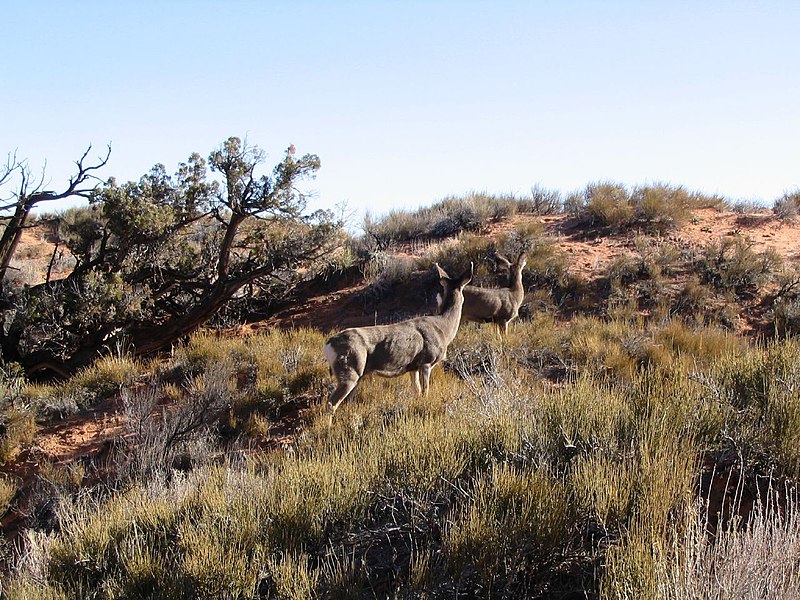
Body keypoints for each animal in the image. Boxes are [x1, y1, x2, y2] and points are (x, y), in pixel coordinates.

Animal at [322, 262, 472, 422]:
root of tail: (328, 344)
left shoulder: (413, 367)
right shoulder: (426, 362)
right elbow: (425, 391)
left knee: (345, 402)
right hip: (349, 370)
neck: (443, 327)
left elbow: (417, 391)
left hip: (356, 374)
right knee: (331, 403)